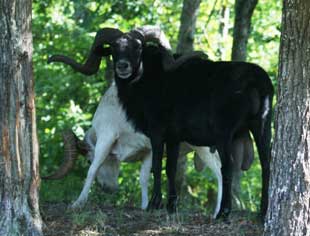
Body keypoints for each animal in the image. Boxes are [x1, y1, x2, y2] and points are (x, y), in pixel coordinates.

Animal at [46, 25, 266, 218]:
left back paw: (219, 213)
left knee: (221, 172)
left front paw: (78, 203)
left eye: (138, 47)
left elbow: (94, 170)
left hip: (208, 145)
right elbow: (146, 177)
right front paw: (148, 206)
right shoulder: (150, 149)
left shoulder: (111, 138)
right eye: (114, 49)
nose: (108, 189)